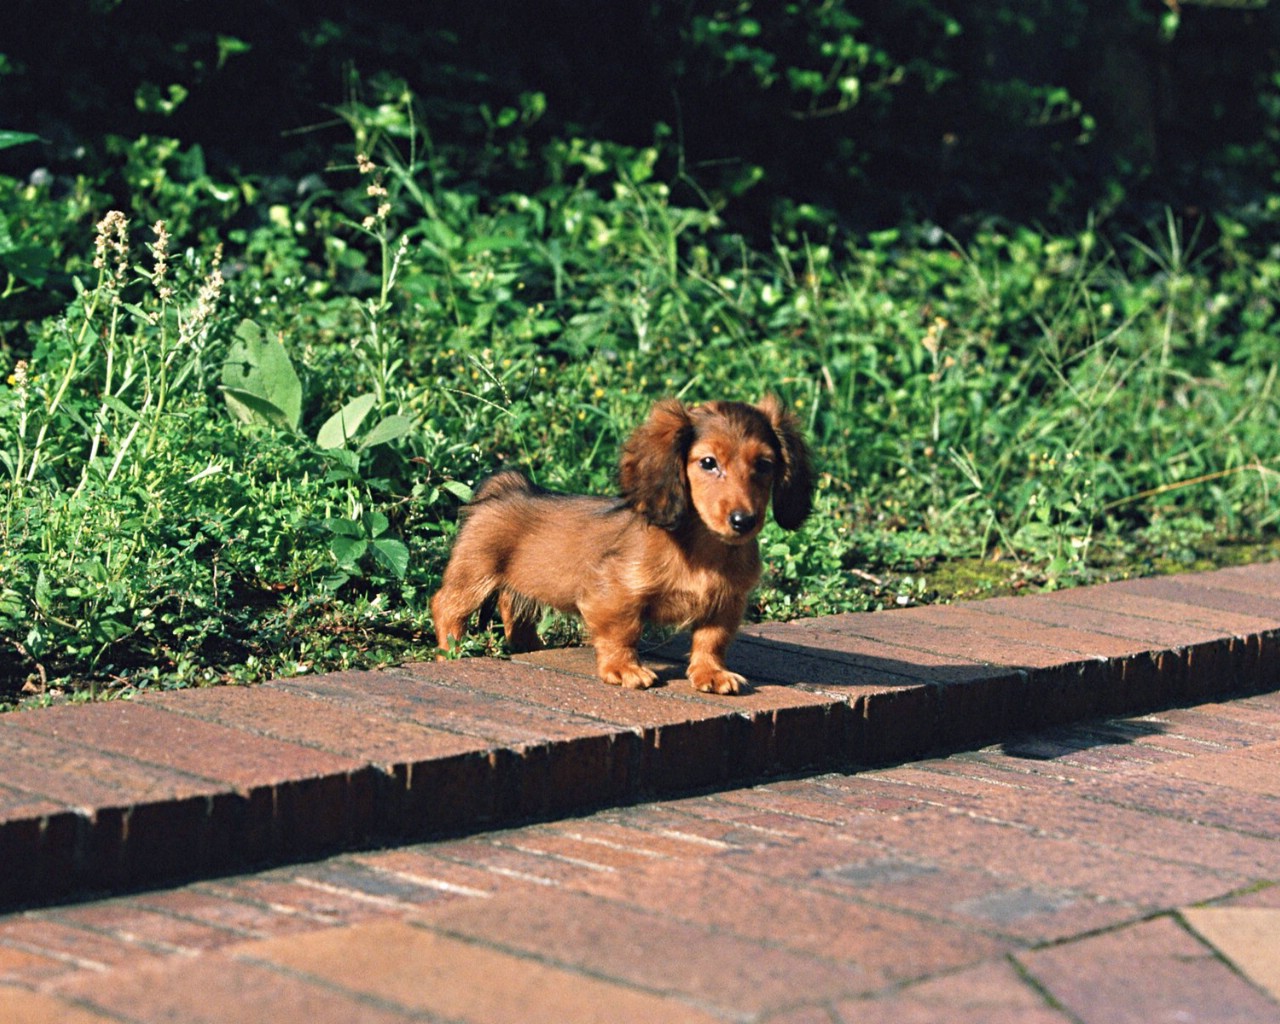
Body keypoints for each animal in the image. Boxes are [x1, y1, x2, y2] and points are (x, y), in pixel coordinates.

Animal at [427, 396, 808, 691]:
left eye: (764, 464)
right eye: (708, 463)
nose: (744, 521)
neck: (702, 550)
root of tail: (505, 488)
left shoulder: (726, 603)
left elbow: (711, 641)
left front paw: (711, 674)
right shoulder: (614, 593)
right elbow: (622, 633)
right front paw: (625, 669)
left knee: (513, 609)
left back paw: (529, 647)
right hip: (474, 574)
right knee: (446, 607)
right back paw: (451, 652)